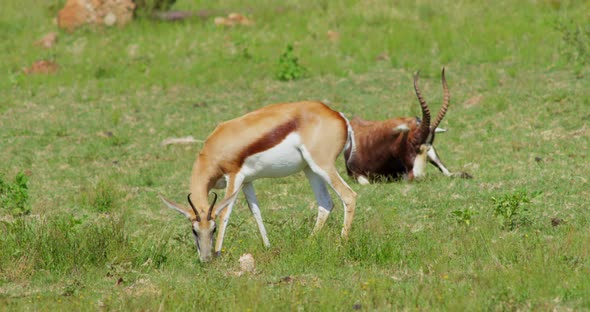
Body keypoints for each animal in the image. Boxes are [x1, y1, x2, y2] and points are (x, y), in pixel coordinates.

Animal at [160, 101, 358, 262]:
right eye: (194, 230)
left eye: (213, 228)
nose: (206, 259)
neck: (214, 150)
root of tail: (338, 115)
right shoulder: (247, 182)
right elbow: (256, 211)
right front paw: (268, 247)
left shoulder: (234, 176)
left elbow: (225, 214)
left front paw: (218, 253)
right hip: (310, 169)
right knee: (325, 203)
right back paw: (308, 243)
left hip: (322, 166)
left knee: (349, 196)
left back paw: (341, 245)